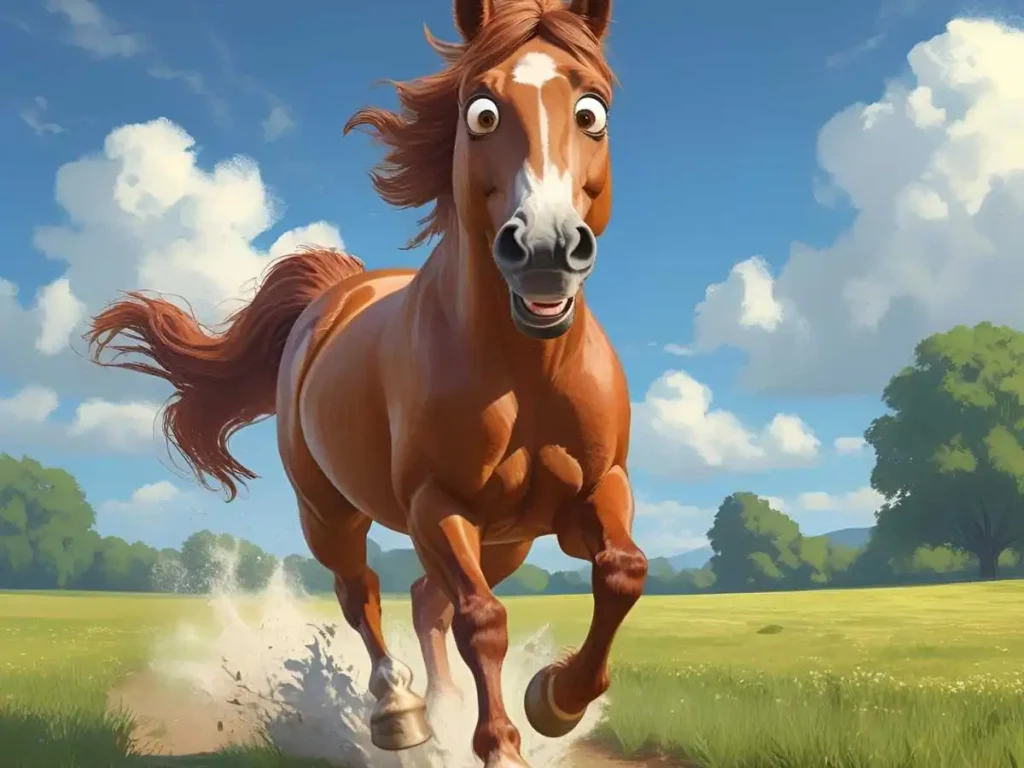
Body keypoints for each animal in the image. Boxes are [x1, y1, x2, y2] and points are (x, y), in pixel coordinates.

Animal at [85, 1, 646, 765]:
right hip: (331, 512)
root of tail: (339, 291)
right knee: (366, 594)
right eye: (481, 112)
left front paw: (555, 701)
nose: (544, 248)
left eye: (592, 111)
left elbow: (622, 572)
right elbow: (482, 620)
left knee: (425, 597)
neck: (527, 372)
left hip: (509, 538)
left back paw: (443, 706)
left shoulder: (598, 487)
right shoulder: (435, 503)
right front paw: (501, 744)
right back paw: (401, 714)